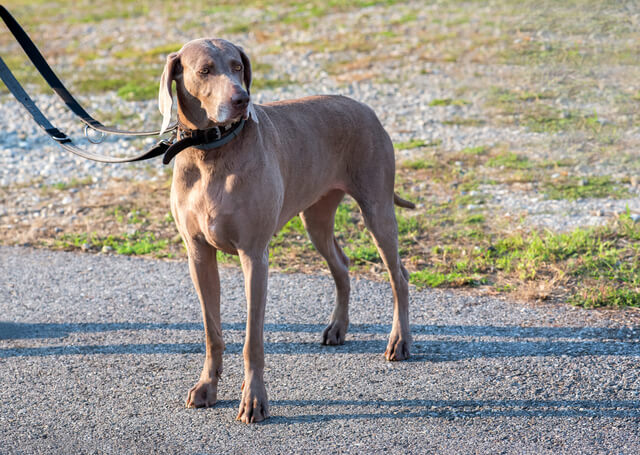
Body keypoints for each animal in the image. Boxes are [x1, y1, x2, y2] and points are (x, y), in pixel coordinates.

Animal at [160, 39, 416, 424]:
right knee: (342, 266)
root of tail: (366, 109)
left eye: (237, 66)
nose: (242, 100)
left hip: (377, 208)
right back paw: (338, 328)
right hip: (316, 217)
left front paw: (254, 399)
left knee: (398, 274)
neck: (212, 152)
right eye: (204, 70)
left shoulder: (254, 256)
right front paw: (207, 387)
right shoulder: (199, 254)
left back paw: (399, 341)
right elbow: (211, 331)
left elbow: (252, 340)